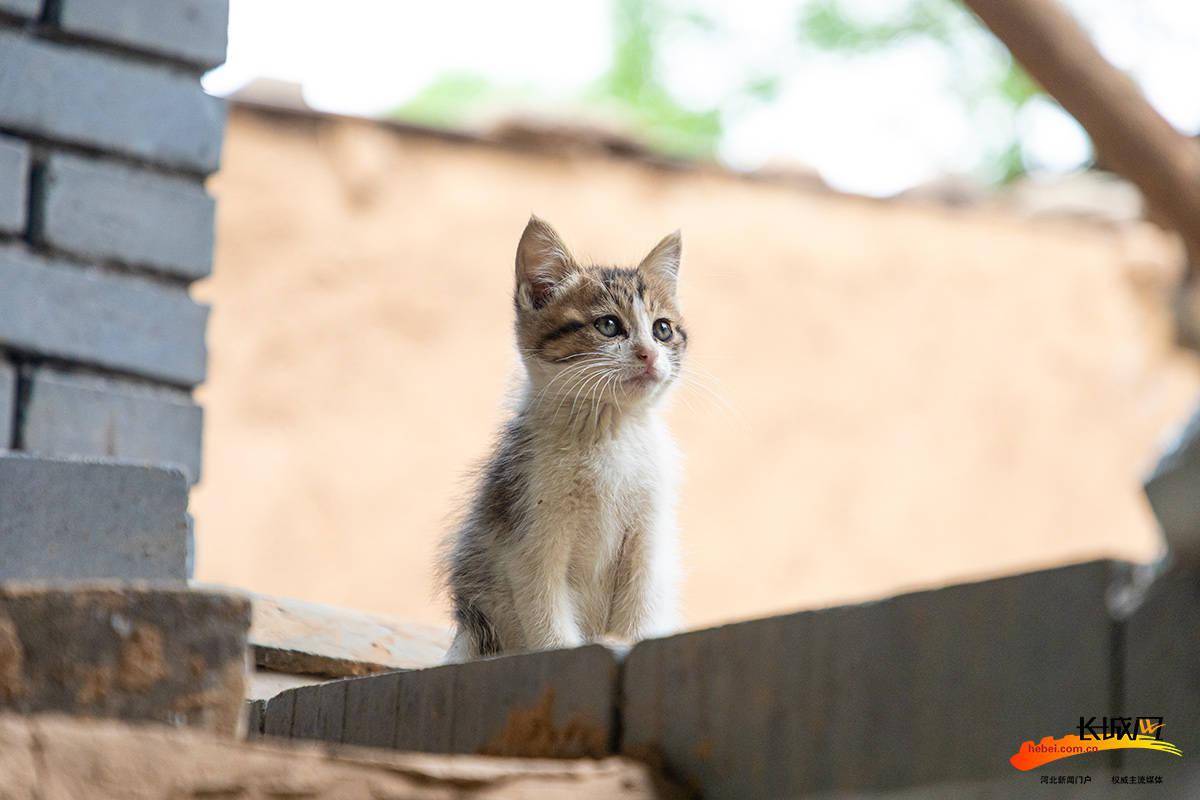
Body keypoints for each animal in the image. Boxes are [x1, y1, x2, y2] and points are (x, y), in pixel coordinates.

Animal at [439, 215, 686, 662]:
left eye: (662, 329)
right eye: (608, 325)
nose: (648, 355)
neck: (607, 432)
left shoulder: (648, 537)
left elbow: (640, 606)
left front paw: (628, 641)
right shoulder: (528, 534)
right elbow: (547, 619)